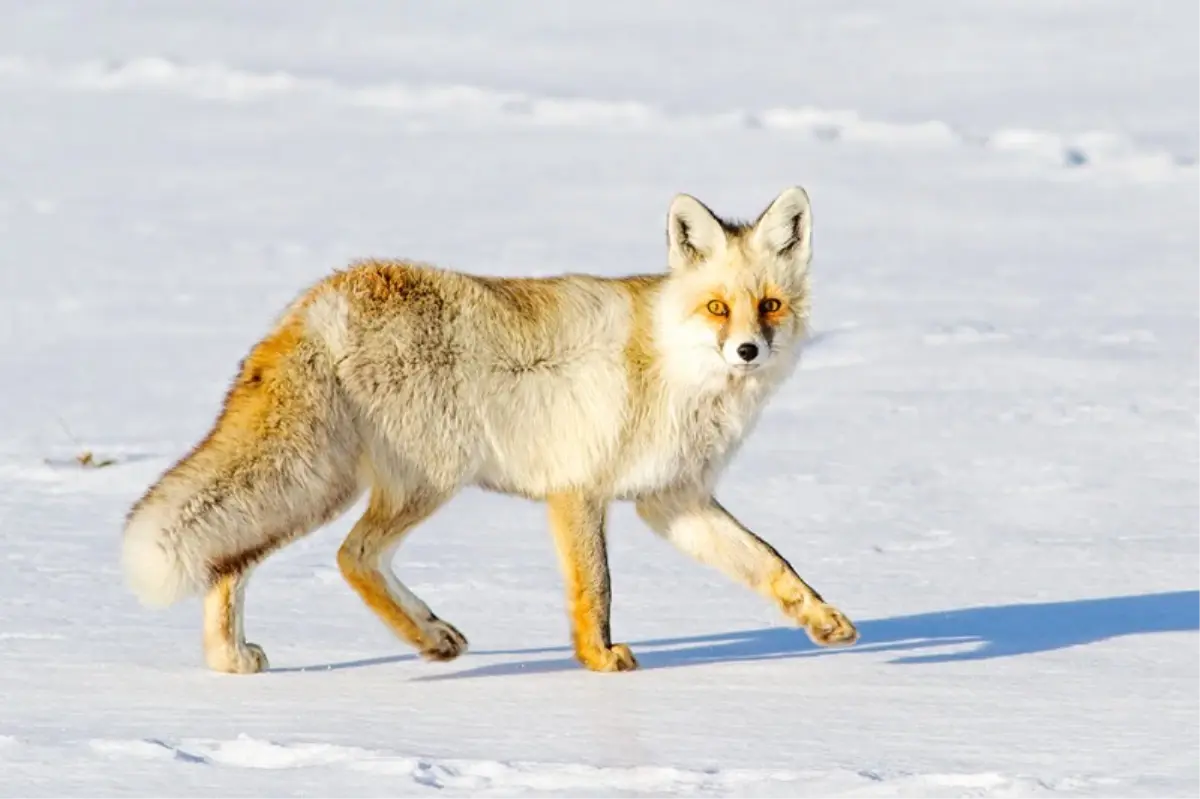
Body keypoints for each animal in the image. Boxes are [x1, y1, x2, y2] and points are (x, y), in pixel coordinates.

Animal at [124, 187, 864, 671]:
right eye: (717, 308)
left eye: (770, 306)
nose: (749, 351)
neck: (674, 372)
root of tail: (320, 298)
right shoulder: (579, 491)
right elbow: (595, 590)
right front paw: (599, 661)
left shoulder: (673, 499)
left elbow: (771, 563)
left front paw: (821, 621)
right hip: (409, 481)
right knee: (349, 556)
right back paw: (420, 638)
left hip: (333, 482)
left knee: (235, 561)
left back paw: (242, 657)